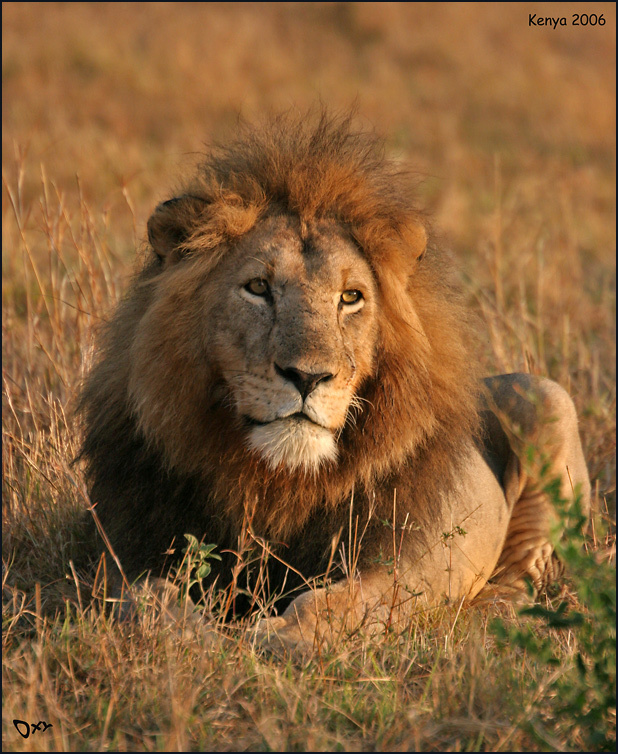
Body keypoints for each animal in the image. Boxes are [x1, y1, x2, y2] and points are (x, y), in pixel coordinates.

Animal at [78, 112, 590, 652]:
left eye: (350, 297)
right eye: (258, 288)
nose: (308, 376)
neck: (278, 479)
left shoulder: (407, 556)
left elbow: (338, 602)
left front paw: (276, 638)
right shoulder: (127, 547)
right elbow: (144, 597)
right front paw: (194, 637)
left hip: (547, 398)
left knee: (523, 577)